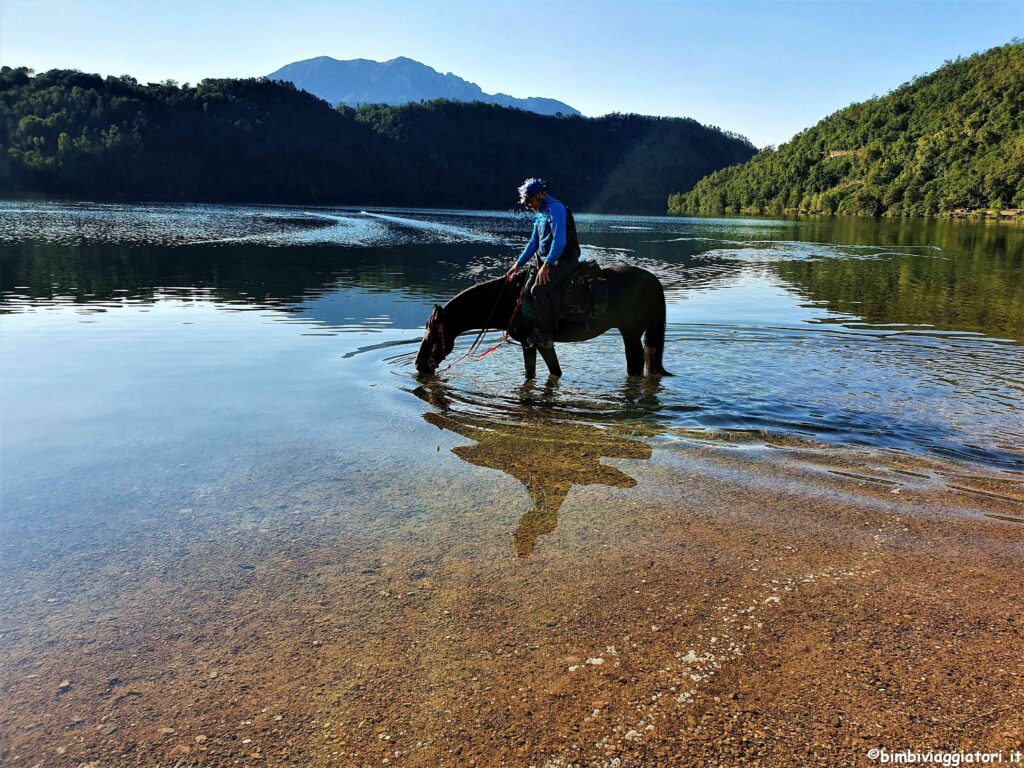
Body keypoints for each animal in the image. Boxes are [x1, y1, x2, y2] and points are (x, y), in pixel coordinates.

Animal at [415, 266, 671, 380]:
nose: (419, 365)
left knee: (636, 362)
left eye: (431, 335)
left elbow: (553, 370)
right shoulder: (531, 344)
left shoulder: (538, 341)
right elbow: (538, 372)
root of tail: (655, 282)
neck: (510, 300)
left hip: (631, 332)